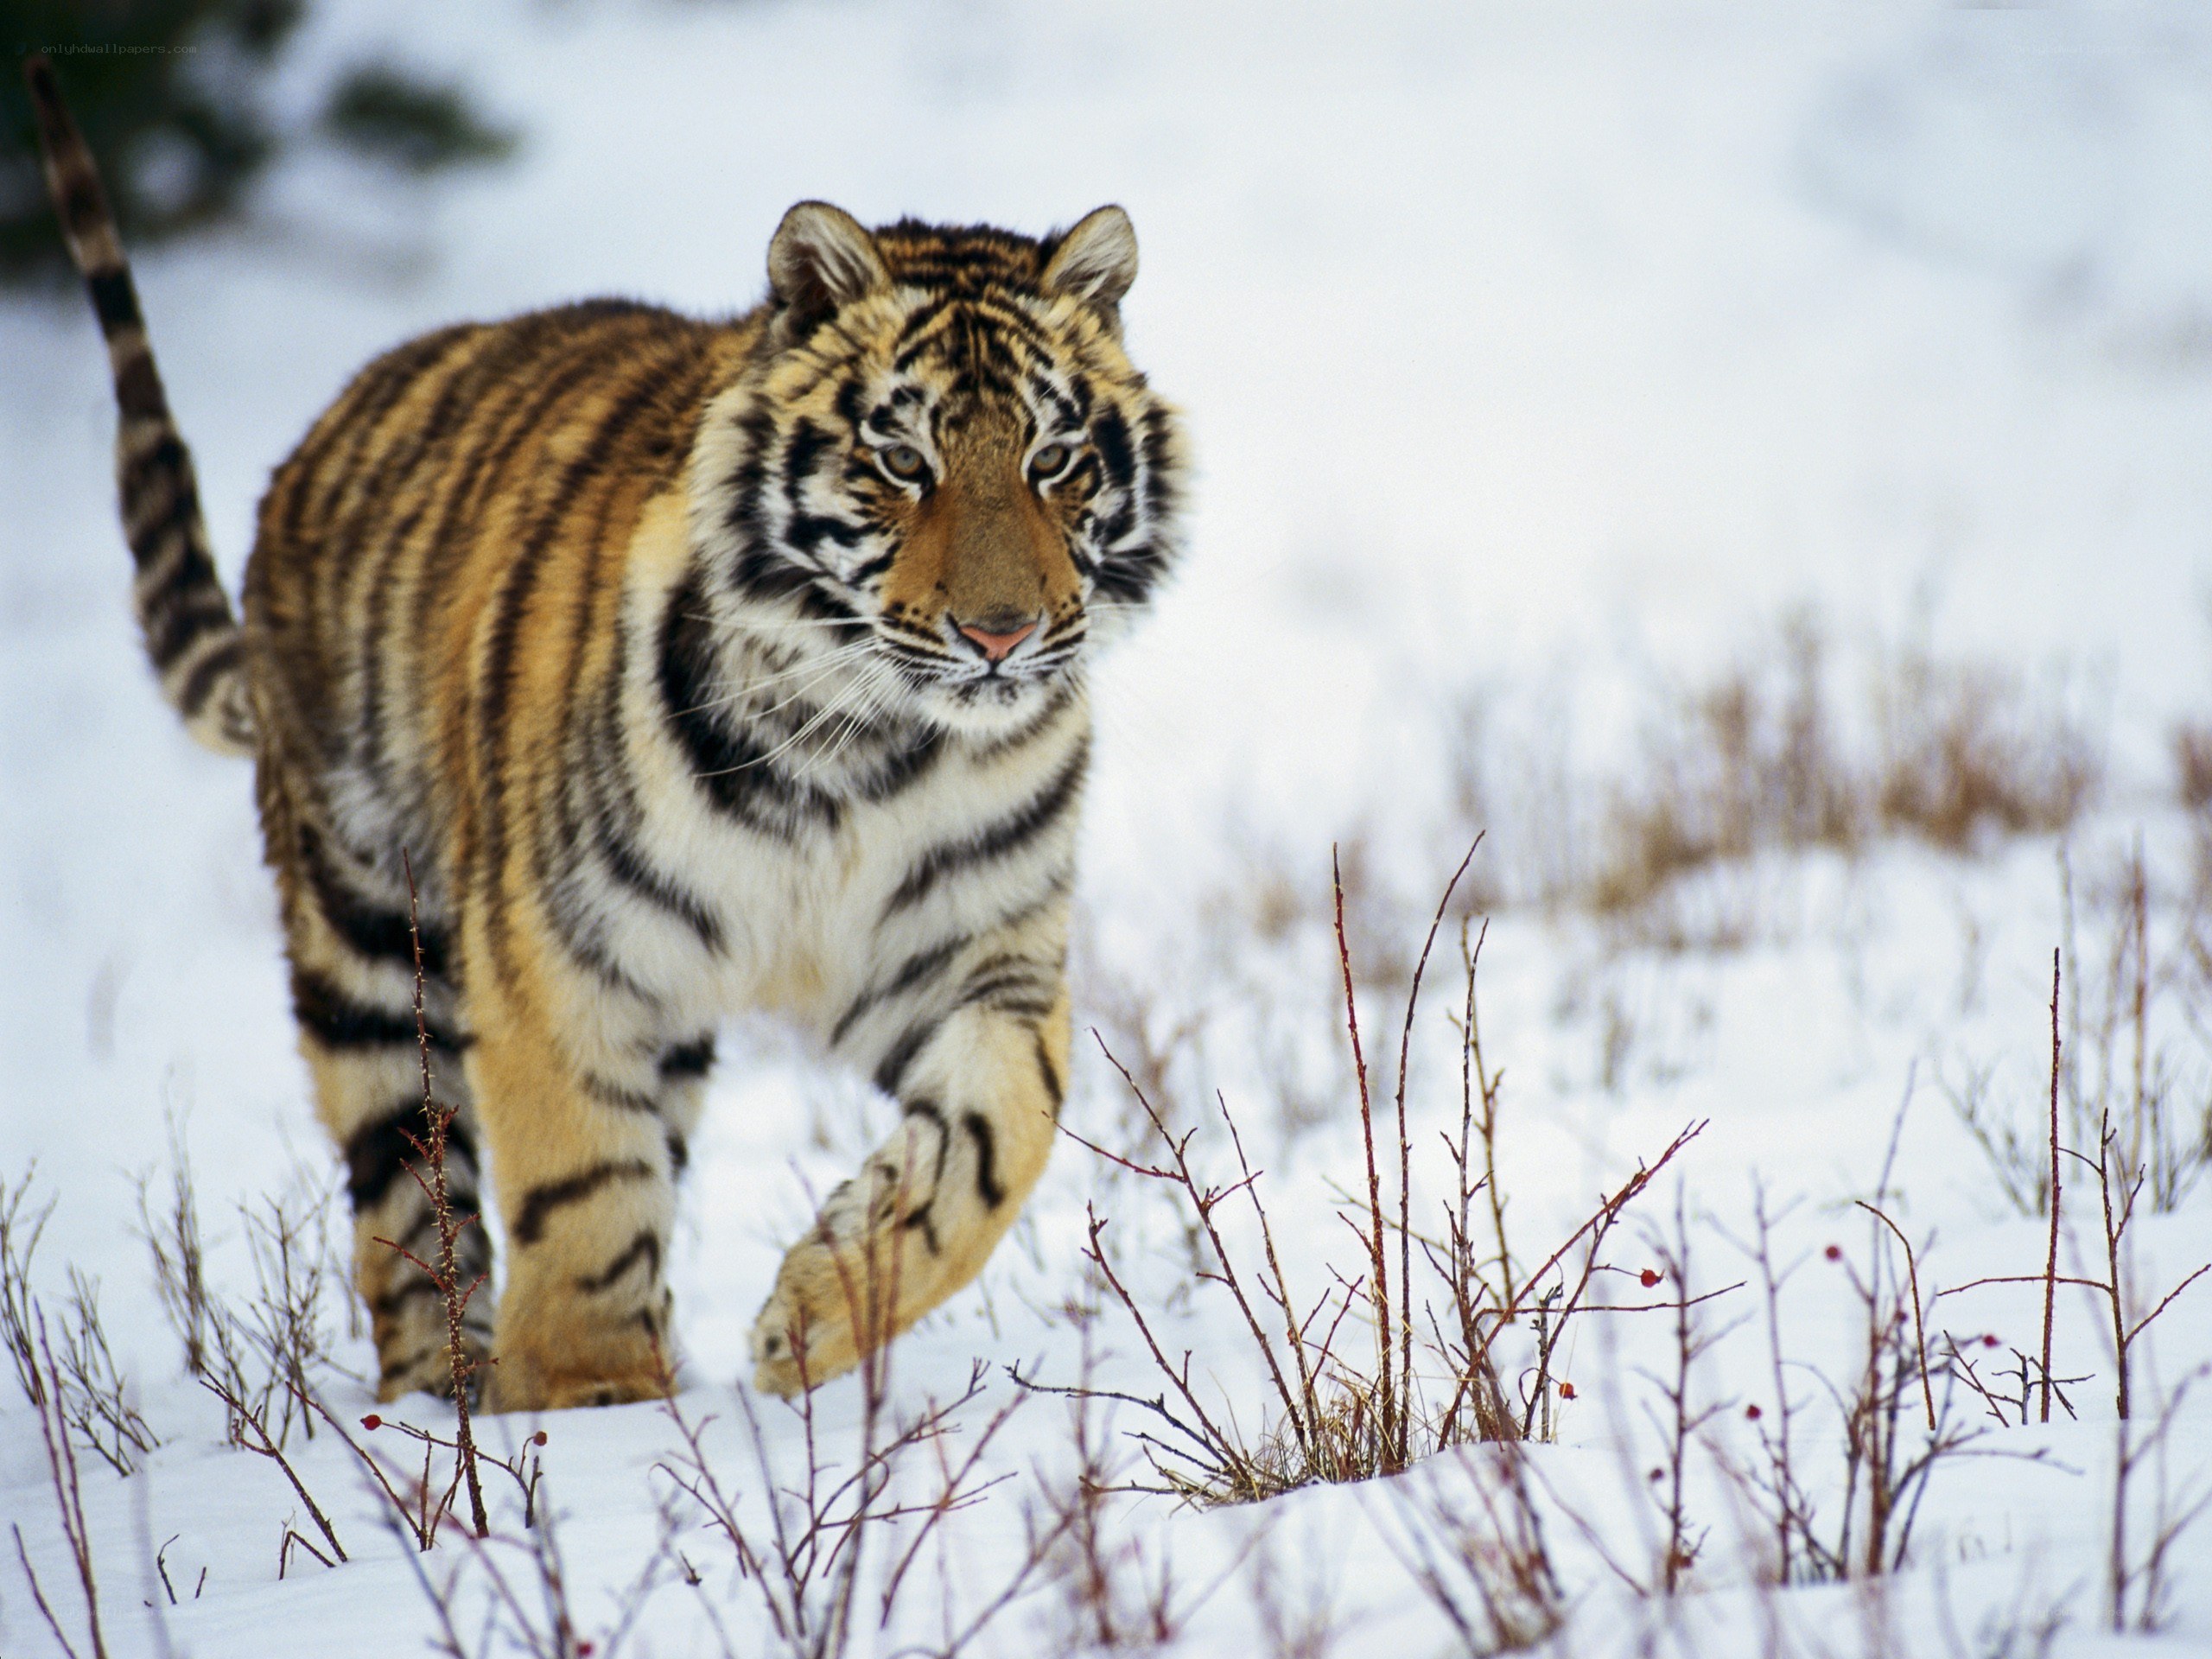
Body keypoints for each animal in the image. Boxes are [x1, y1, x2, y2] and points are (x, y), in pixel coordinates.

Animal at [25, 56, 1185, 1410]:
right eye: (902, 460)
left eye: (1056, 460)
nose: (1002, 634)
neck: (862, 748)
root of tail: (316, 441)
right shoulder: (559, 950)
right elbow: (580, 1183)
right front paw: (593, 1406)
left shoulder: (975, 953)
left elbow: (1001, 1137)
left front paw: (812, 1320)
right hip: (366, 941)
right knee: (407, 1205)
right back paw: (444, 1405)